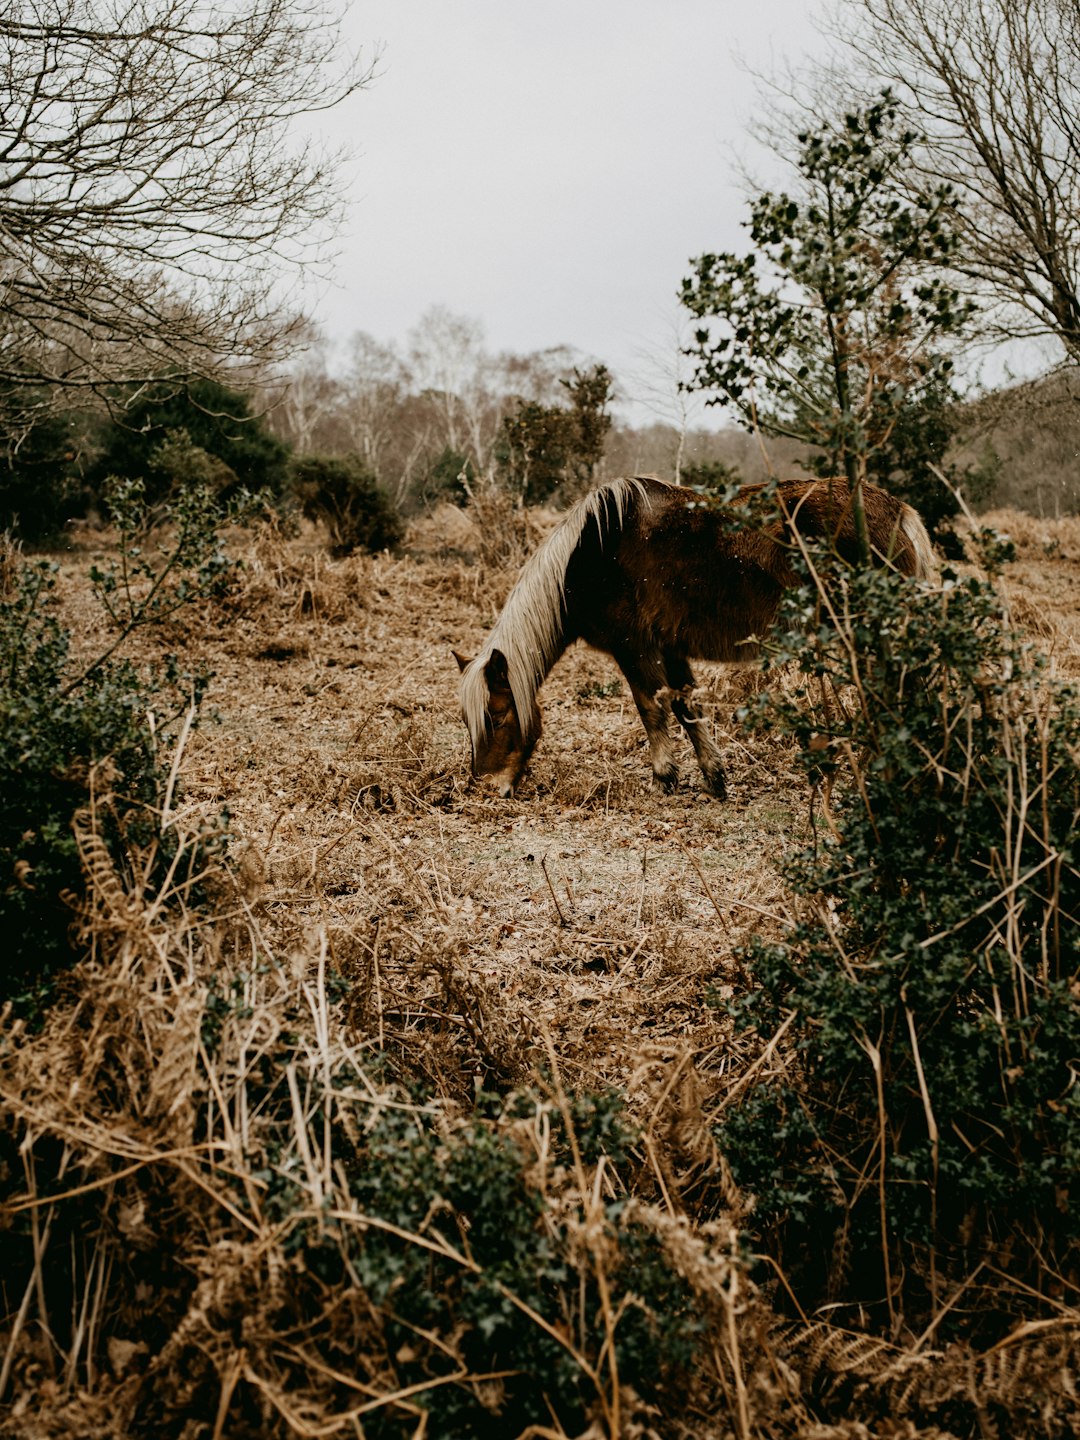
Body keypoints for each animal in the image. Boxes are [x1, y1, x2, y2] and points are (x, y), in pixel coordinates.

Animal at [452, 480, 933, 800]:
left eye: (496, 717)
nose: (486, 788)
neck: (589, 555)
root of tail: (898, 509)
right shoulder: (671, 648)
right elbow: (687, 707)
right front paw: (714, 777)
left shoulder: (635, 647)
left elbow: (651, 708)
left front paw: (664, 777)